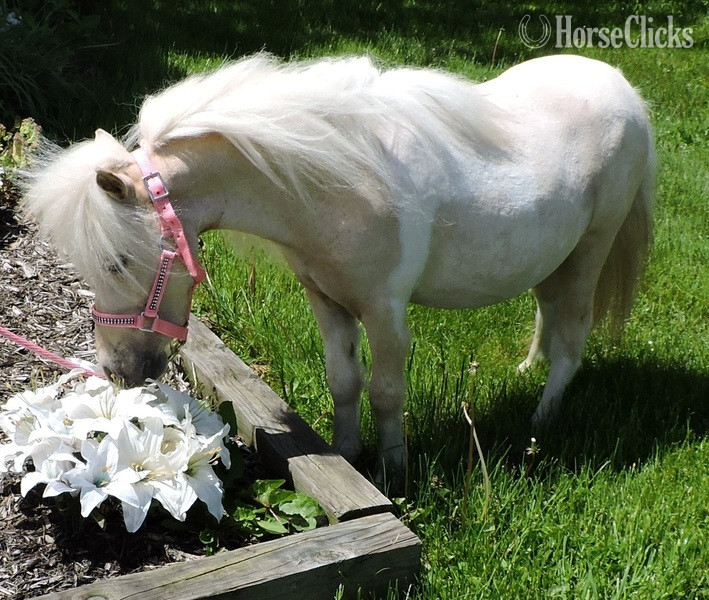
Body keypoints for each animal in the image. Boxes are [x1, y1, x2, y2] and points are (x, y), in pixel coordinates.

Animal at [21, 53, 655, 479]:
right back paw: (526, 373)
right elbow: (344, 381)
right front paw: (349, 456)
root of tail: (624, 89)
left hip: (591, 250)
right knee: (548, 313)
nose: (118, 372)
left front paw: (394, 472)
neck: (336, 185)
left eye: (117, 260)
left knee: (573, 335)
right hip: (554, 256)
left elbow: (386, 392)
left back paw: (540, 424)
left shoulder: (386, 311)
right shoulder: (325, 300)